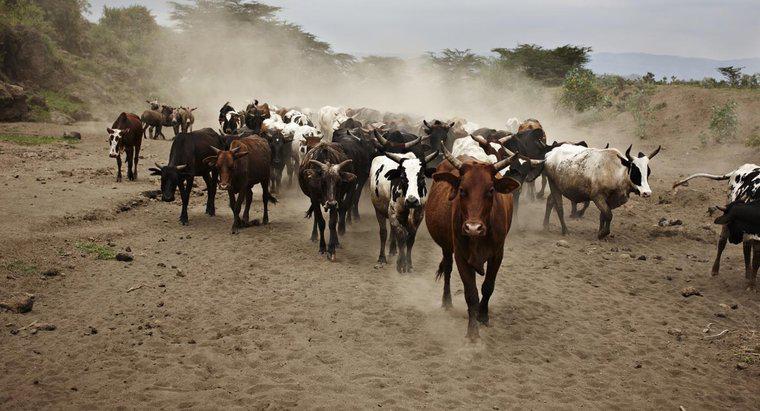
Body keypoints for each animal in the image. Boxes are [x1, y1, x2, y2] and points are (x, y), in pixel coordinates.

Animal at [424, 146, 520, 340]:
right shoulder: (462, 256)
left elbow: (488, 287)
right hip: (447, 247)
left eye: (491, 190)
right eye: (462, 190)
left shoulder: (497, 254)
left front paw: (483, 316)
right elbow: (471, 294)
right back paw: (447, 302)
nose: (473, 228)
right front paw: (473, 332)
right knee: (447, 269)